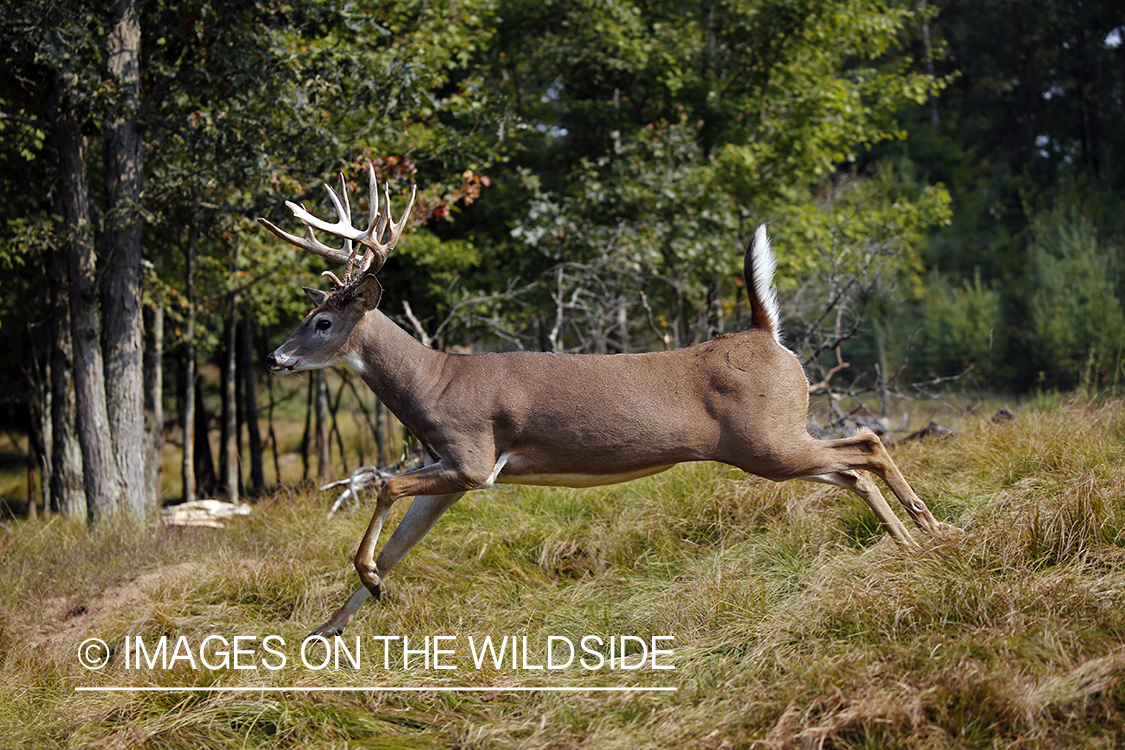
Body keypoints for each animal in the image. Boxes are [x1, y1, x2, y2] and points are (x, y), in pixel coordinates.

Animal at [258, 165, 945, 638]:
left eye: (321, 321)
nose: (274, 358)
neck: (435, 381)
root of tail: (767, 333)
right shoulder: (449, 470)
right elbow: (401, 544)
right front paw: (328, 627)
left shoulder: (474, 459)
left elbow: (383, 486)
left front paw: (368, 583)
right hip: (774, 441)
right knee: (853, 468)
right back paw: (916, 543)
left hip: (766, 440)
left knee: (867, 444)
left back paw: (931, 530)